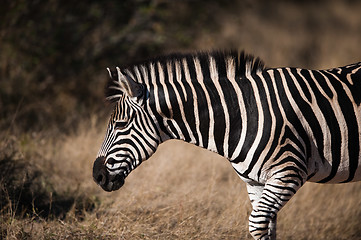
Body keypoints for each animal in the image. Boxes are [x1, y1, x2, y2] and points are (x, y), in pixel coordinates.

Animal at [93, 49, 360, 239]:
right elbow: (265, 229)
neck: (241, 116)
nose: (97, 175)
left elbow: (256, 224)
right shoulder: (256, 182)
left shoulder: (288, 173)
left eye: (121, 125)